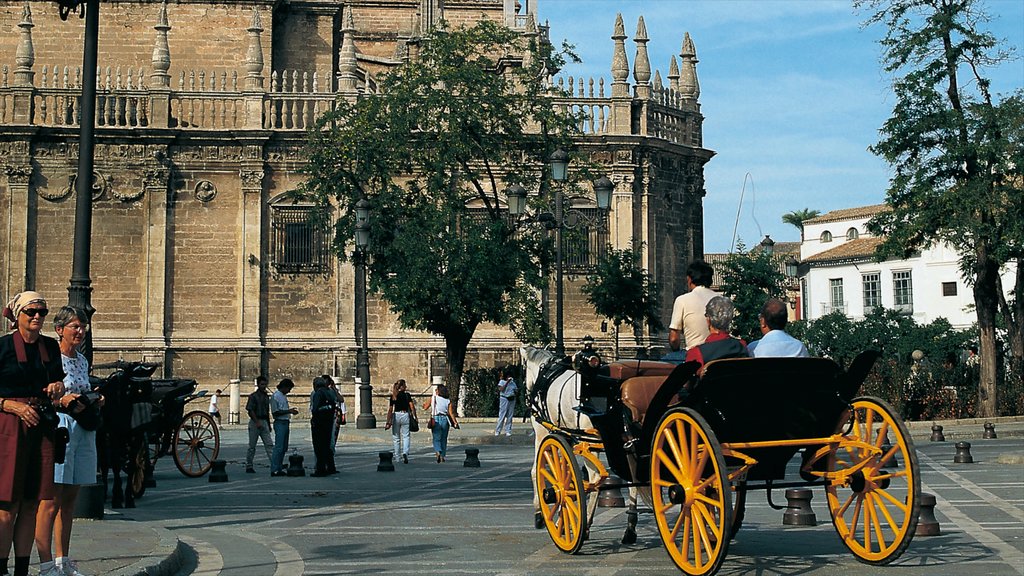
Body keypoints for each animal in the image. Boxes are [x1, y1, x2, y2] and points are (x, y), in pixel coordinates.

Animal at [520, 344, 638, 541]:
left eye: (522, 370)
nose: (528, 396)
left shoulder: (543, 432)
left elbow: (537, 470)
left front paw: (540, 513)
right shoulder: (564, 435)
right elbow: (564, 471)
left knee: (596, 478)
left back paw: (586, 524)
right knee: (632, 479)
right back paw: (630, 528)